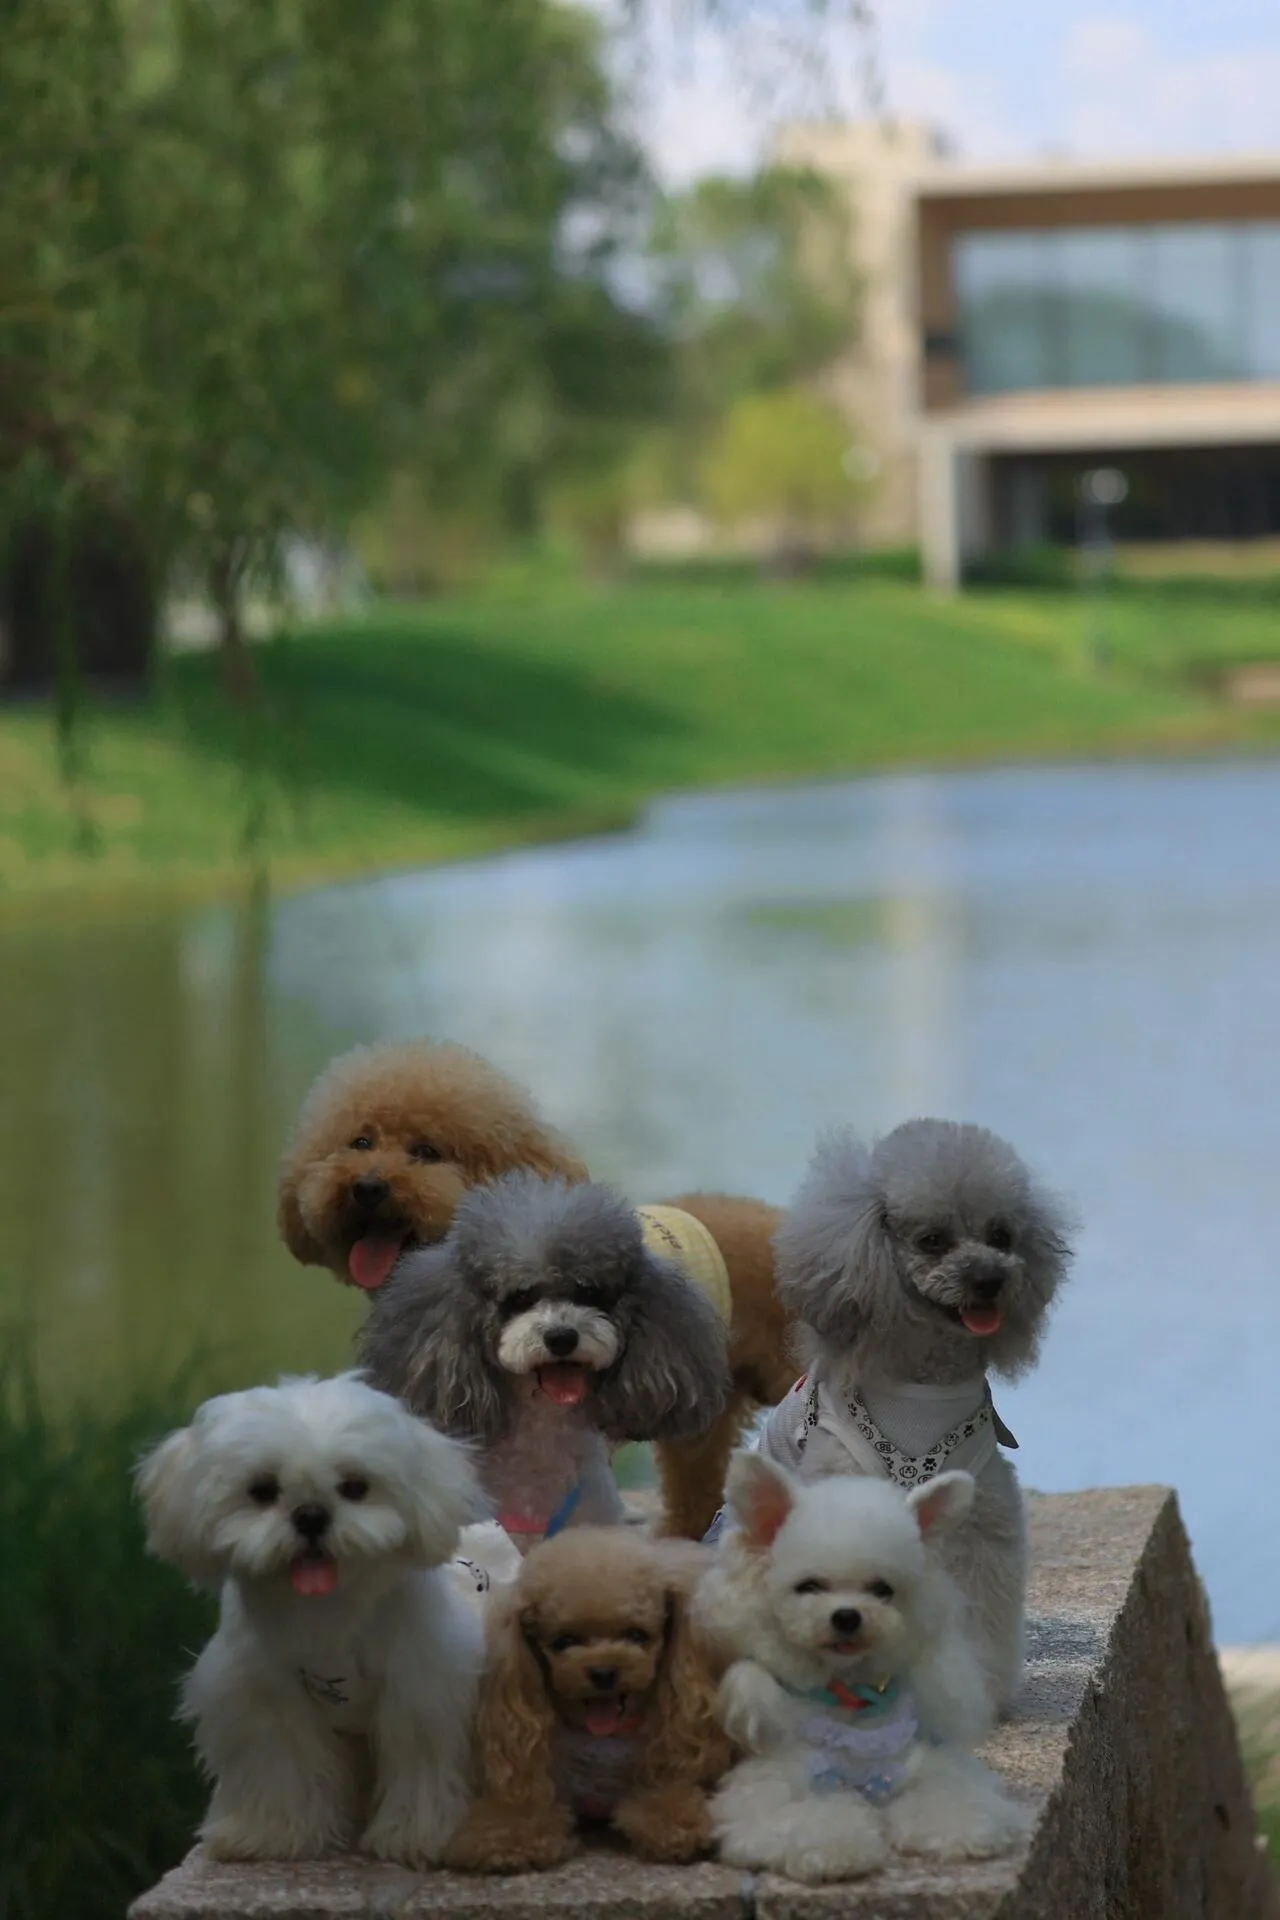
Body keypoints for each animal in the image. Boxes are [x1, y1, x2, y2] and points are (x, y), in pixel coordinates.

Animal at [136, 1373, 485, 1867]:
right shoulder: (264, 1698)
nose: (311, 1516)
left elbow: (418, 1760)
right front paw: (273, 1835)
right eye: (262, 1490)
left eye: (355, 1486)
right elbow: (277, 1762)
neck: (327, 1611)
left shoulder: (420, 1689)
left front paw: (414, 1836)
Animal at [443, 1527, 733, 1871]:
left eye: (637, 1635)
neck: (603, 1739)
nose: (603, 1671)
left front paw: (679, 1828)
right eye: (563, 1641)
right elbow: (521, 1812)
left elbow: (663, 1798)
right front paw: (510, 1841)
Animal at [697, 1451, 1031, 1884]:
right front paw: (834, 1850)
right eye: (808, 1586)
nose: (847, 1616)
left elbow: (948, 1793)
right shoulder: (768, 1784)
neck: (850, 1694)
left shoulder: (920, 1763)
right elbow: (801, 1818)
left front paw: (965, 1829)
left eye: (882, 1589)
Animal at [757, 1120, 1073, 1715]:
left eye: (1002, 1236)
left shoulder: (980, 1522)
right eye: (932, 1240)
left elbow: (981, 1612)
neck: (925, 1383)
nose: (990, 1279)